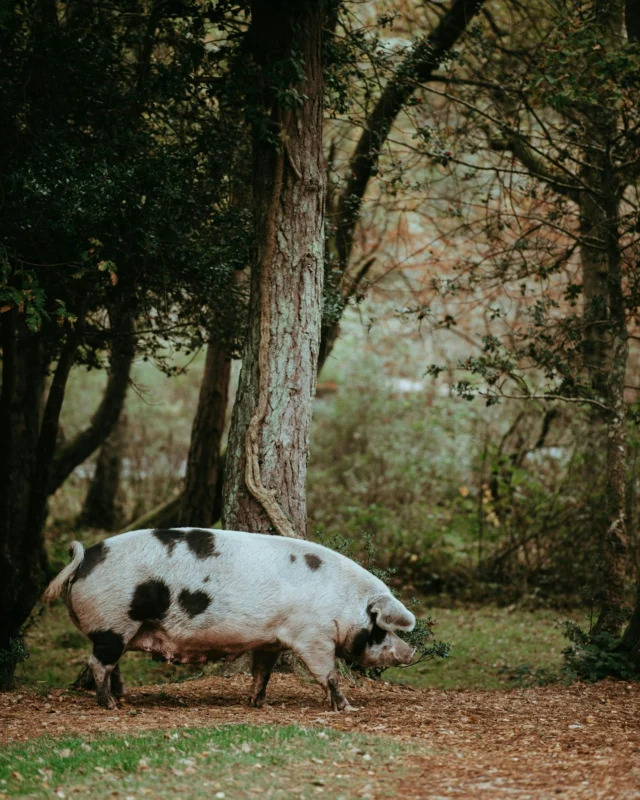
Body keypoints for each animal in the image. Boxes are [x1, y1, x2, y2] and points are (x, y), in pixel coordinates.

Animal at [43, 528, 416, 711]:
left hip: (119, 627)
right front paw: (348, 708)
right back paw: (111, 706)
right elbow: (328, 674)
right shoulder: (313, 635)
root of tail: (84, 558)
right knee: (98, 663)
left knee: (111, 664)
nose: (410, 652)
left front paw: (259, 704)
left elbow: (262, 672)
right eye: (382, 628)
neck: (343, 602)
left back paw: (122, 699)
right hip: (114, 622)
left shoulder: (272, 638)